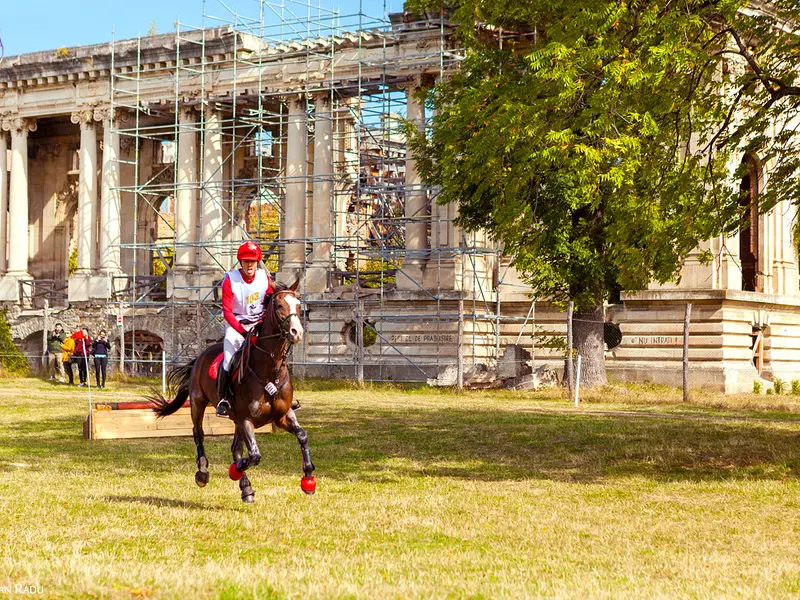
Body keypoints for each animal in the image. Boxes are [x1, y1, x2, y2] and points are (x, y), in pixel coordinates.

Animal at [148, 280, 314, 502]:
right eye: (279, 306)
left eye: (297, 305)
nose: (297, 332)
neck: (270, 370)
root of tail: (201, 356)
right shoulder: (246, 419)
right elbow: (254, 455)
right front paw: (233, 471)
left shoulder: (282, 416)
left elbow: (302, 435)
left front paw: (309, 479)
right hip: (198, 402)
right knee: (199, 433)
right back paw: (203, 473)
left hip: (234, 419)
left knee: (235, 448)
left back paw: (246, 488)